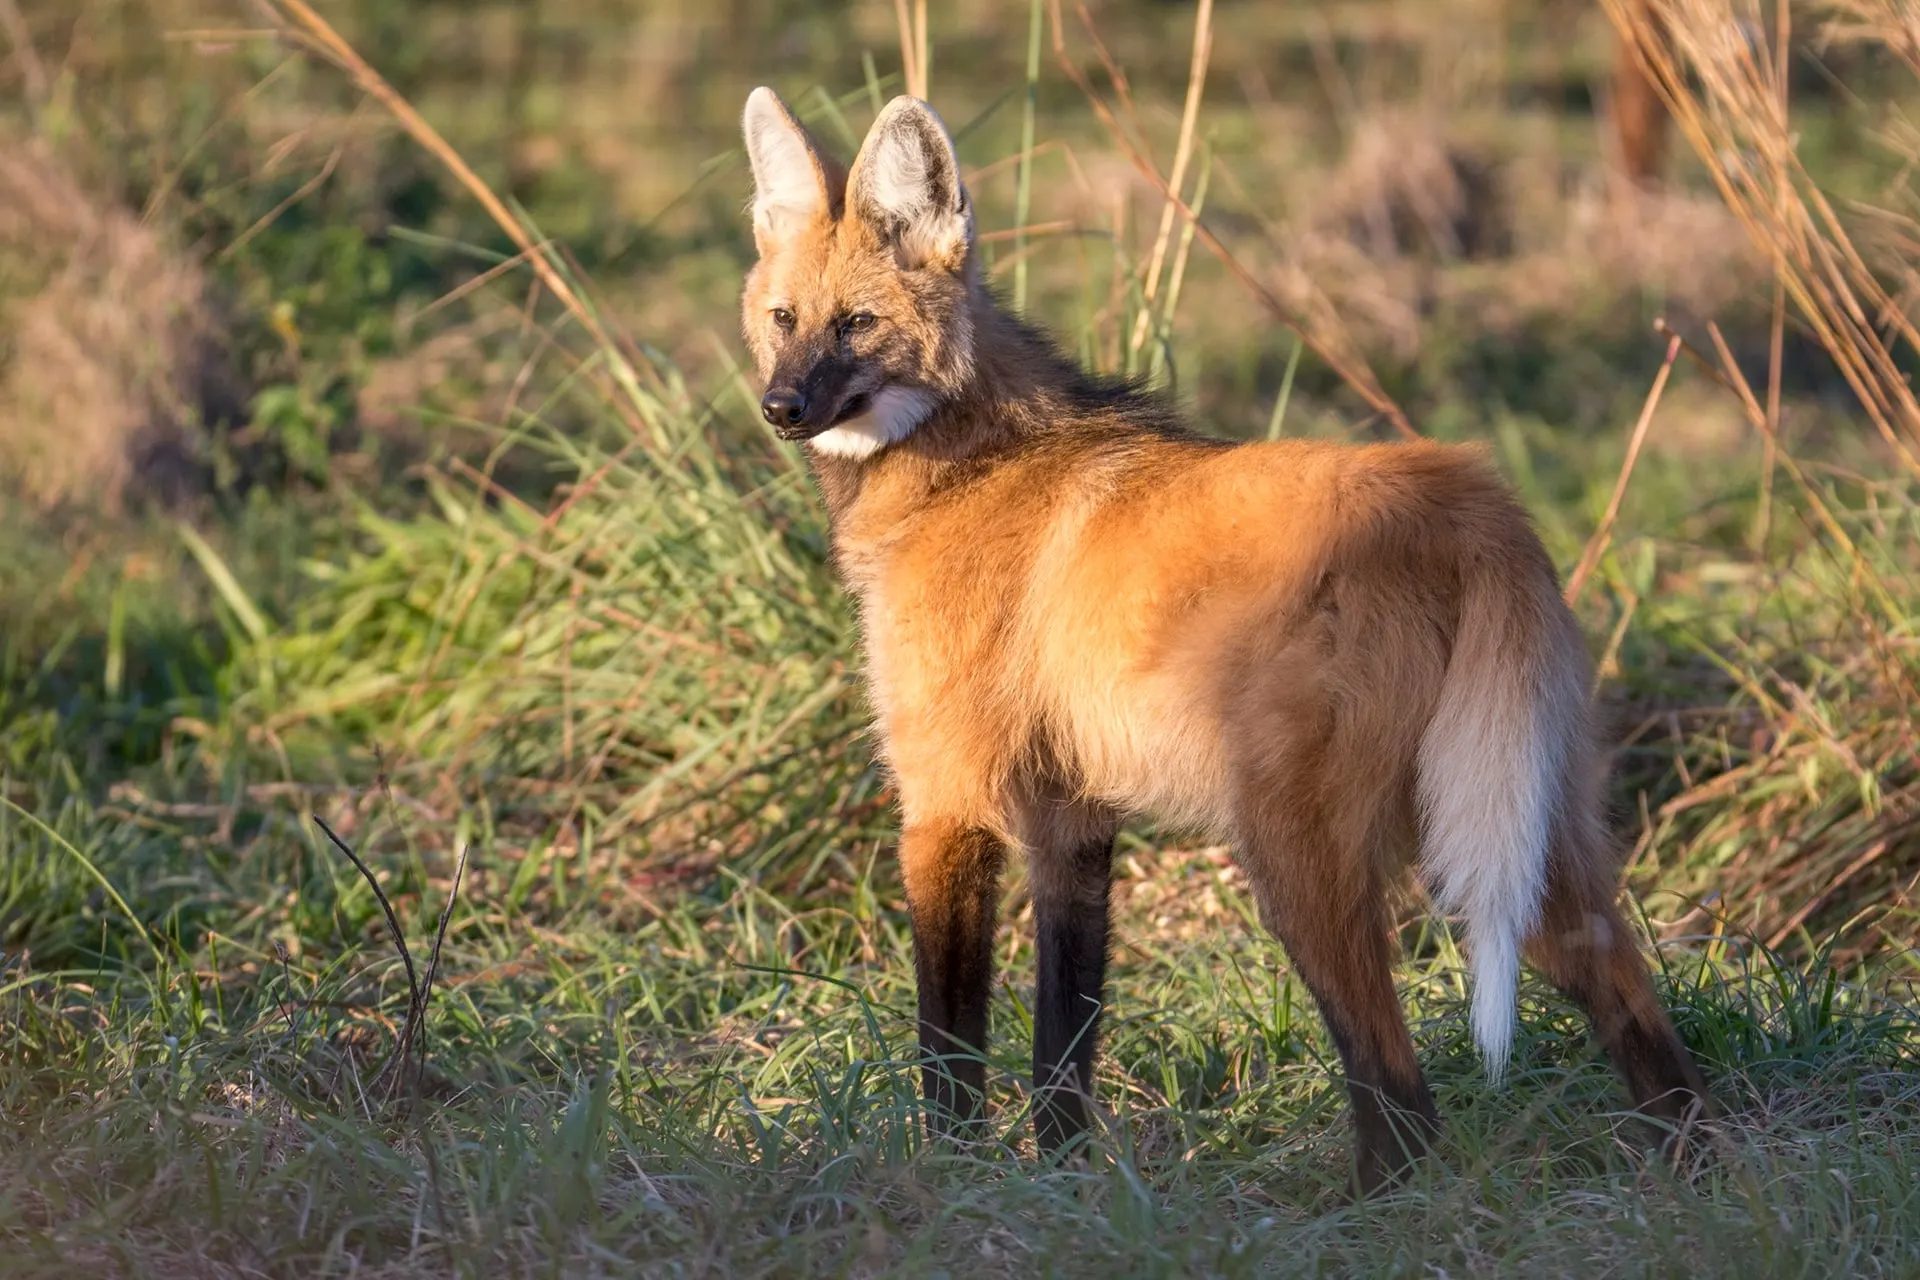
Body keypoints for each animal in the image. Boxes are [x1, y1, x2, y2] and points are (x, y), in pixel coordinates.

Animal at [737, 86, 1710, 1191]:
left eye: (856, 323)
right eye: (784, 319)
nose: (782, 408)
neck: (965, 464)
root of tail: (1467, 497)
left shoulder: (946, 804)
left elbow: (951, 1053)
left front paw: (949, 1183)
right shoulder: (1071, 822)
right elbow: (1062, 1048)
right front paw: (1068, 1185)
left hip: (1294, 852)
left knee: (1401, 1092)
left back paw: (1360, 1205)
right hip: (1516, 822)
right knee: (1634, 1009)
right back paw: (1697, 1171)